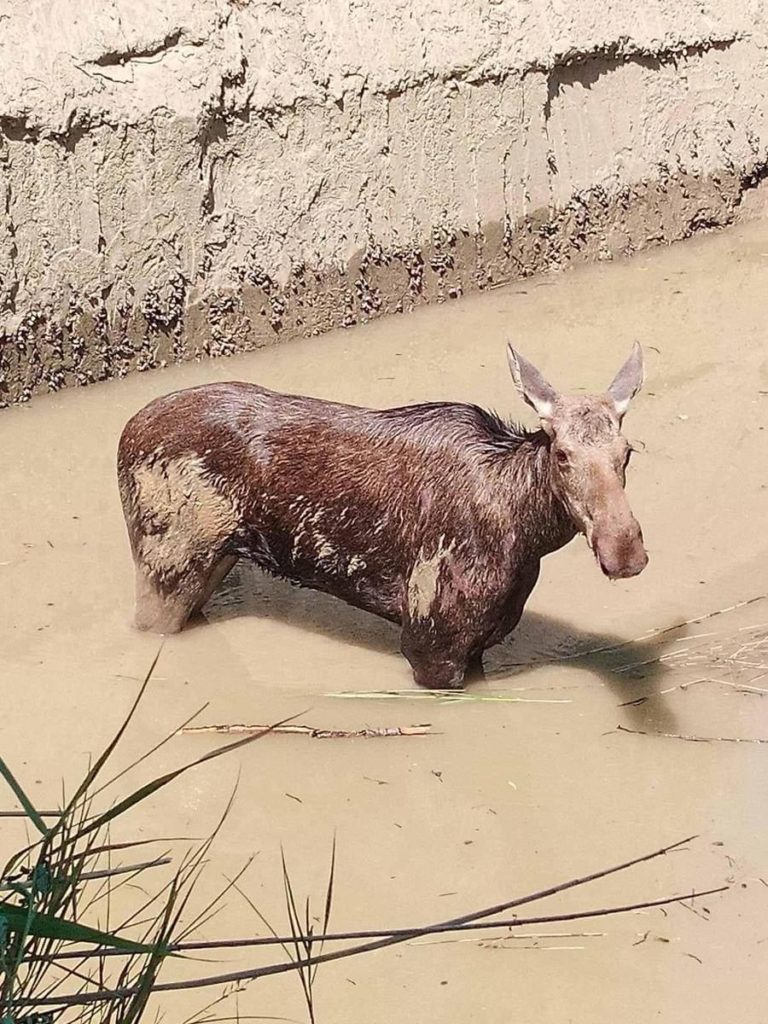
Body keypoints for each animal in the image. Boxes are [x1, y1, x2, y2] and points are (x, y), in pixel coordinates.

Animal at [118, 344, 651, 688]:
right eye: (561, 454)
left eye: (627, 452)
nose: (625, 551)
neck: (525, 534)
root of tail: (126, 434)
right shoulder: (429, 640)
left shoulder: (478, 642)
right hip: (165, 564)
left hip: (214, 562)